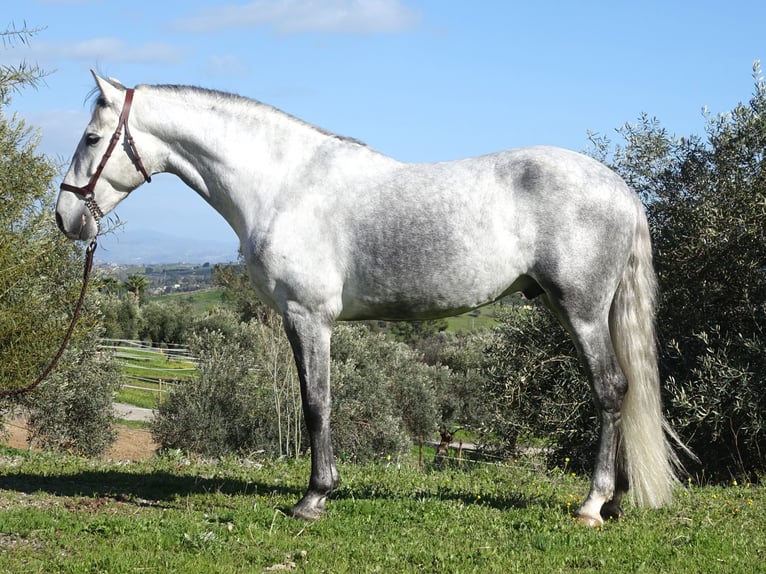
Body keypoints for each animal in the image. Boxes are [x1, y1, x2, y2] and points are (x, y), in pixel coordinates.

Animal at [56, 72, 685, 527]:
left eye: (91, 138)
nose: (66, 217)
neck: (282, 184)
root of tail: (620, 189)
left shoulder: (308, 317)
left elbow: (316, 405)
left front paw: (313, 498)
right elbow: (316, 402)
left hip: (580, 309)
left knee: (610, 390)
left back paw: (592, 505)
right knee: (621, 391)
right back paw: (616, 500)